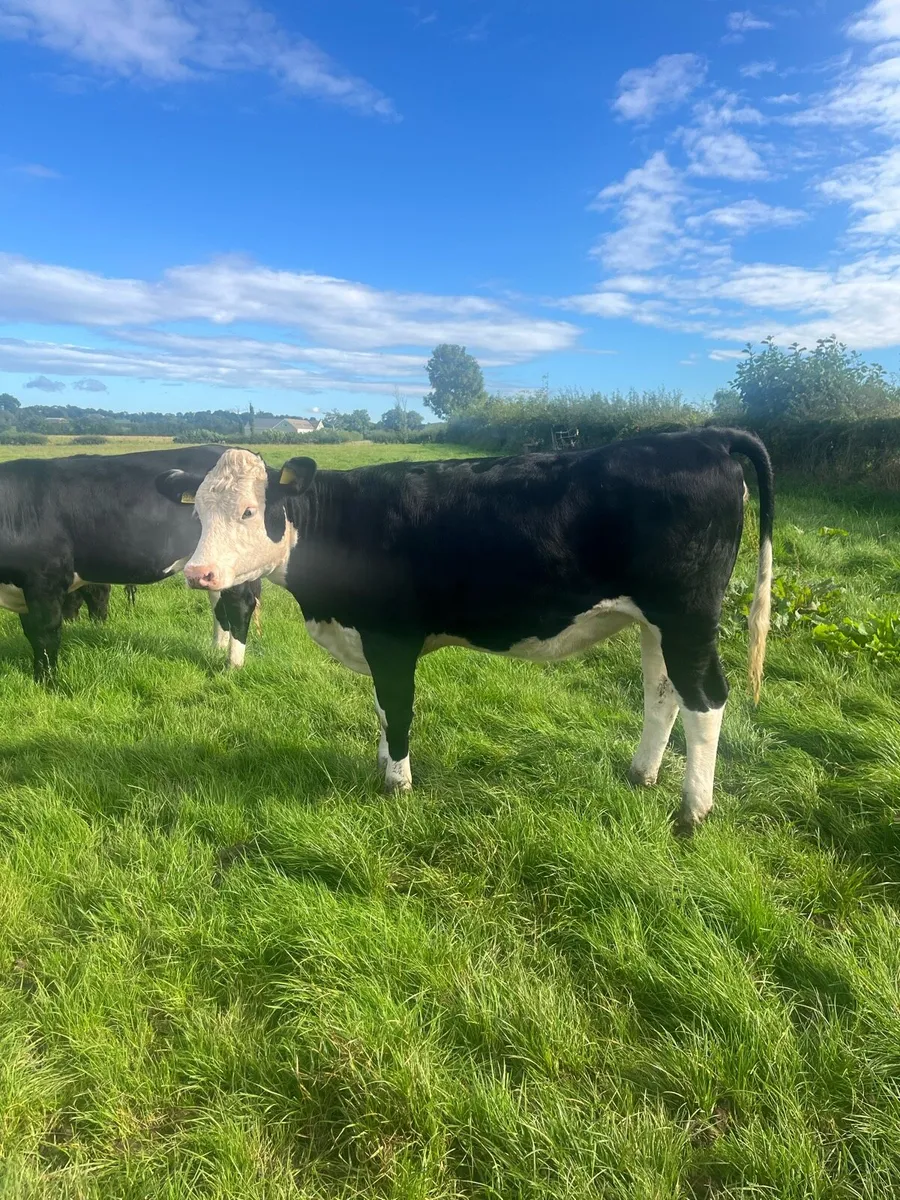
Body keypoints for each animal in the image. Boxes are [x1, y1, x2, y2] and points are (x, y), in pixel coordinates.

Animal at [0, 446, 261, 682]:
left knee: (240, 605)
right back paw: (216, 648)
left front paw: (47, 681)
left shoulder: (45, 580)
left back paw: (232, 666)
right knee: (219, 602)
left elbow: (45, 634)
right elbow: (32, 632)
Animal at [156, 429, 774, 832]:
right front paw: (383, 763)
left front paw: (396, 784)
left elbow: (397, 707)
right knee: (663, 693)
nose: (198, 573)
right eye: (198, 514)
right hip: (654, 623)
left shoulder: (391, 638)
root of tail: (703, 436)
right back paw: (642, 774)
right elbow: (381, 707)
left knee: (706, 701)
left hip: (688, 616)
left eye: (248, 511)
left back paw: (692, 812)